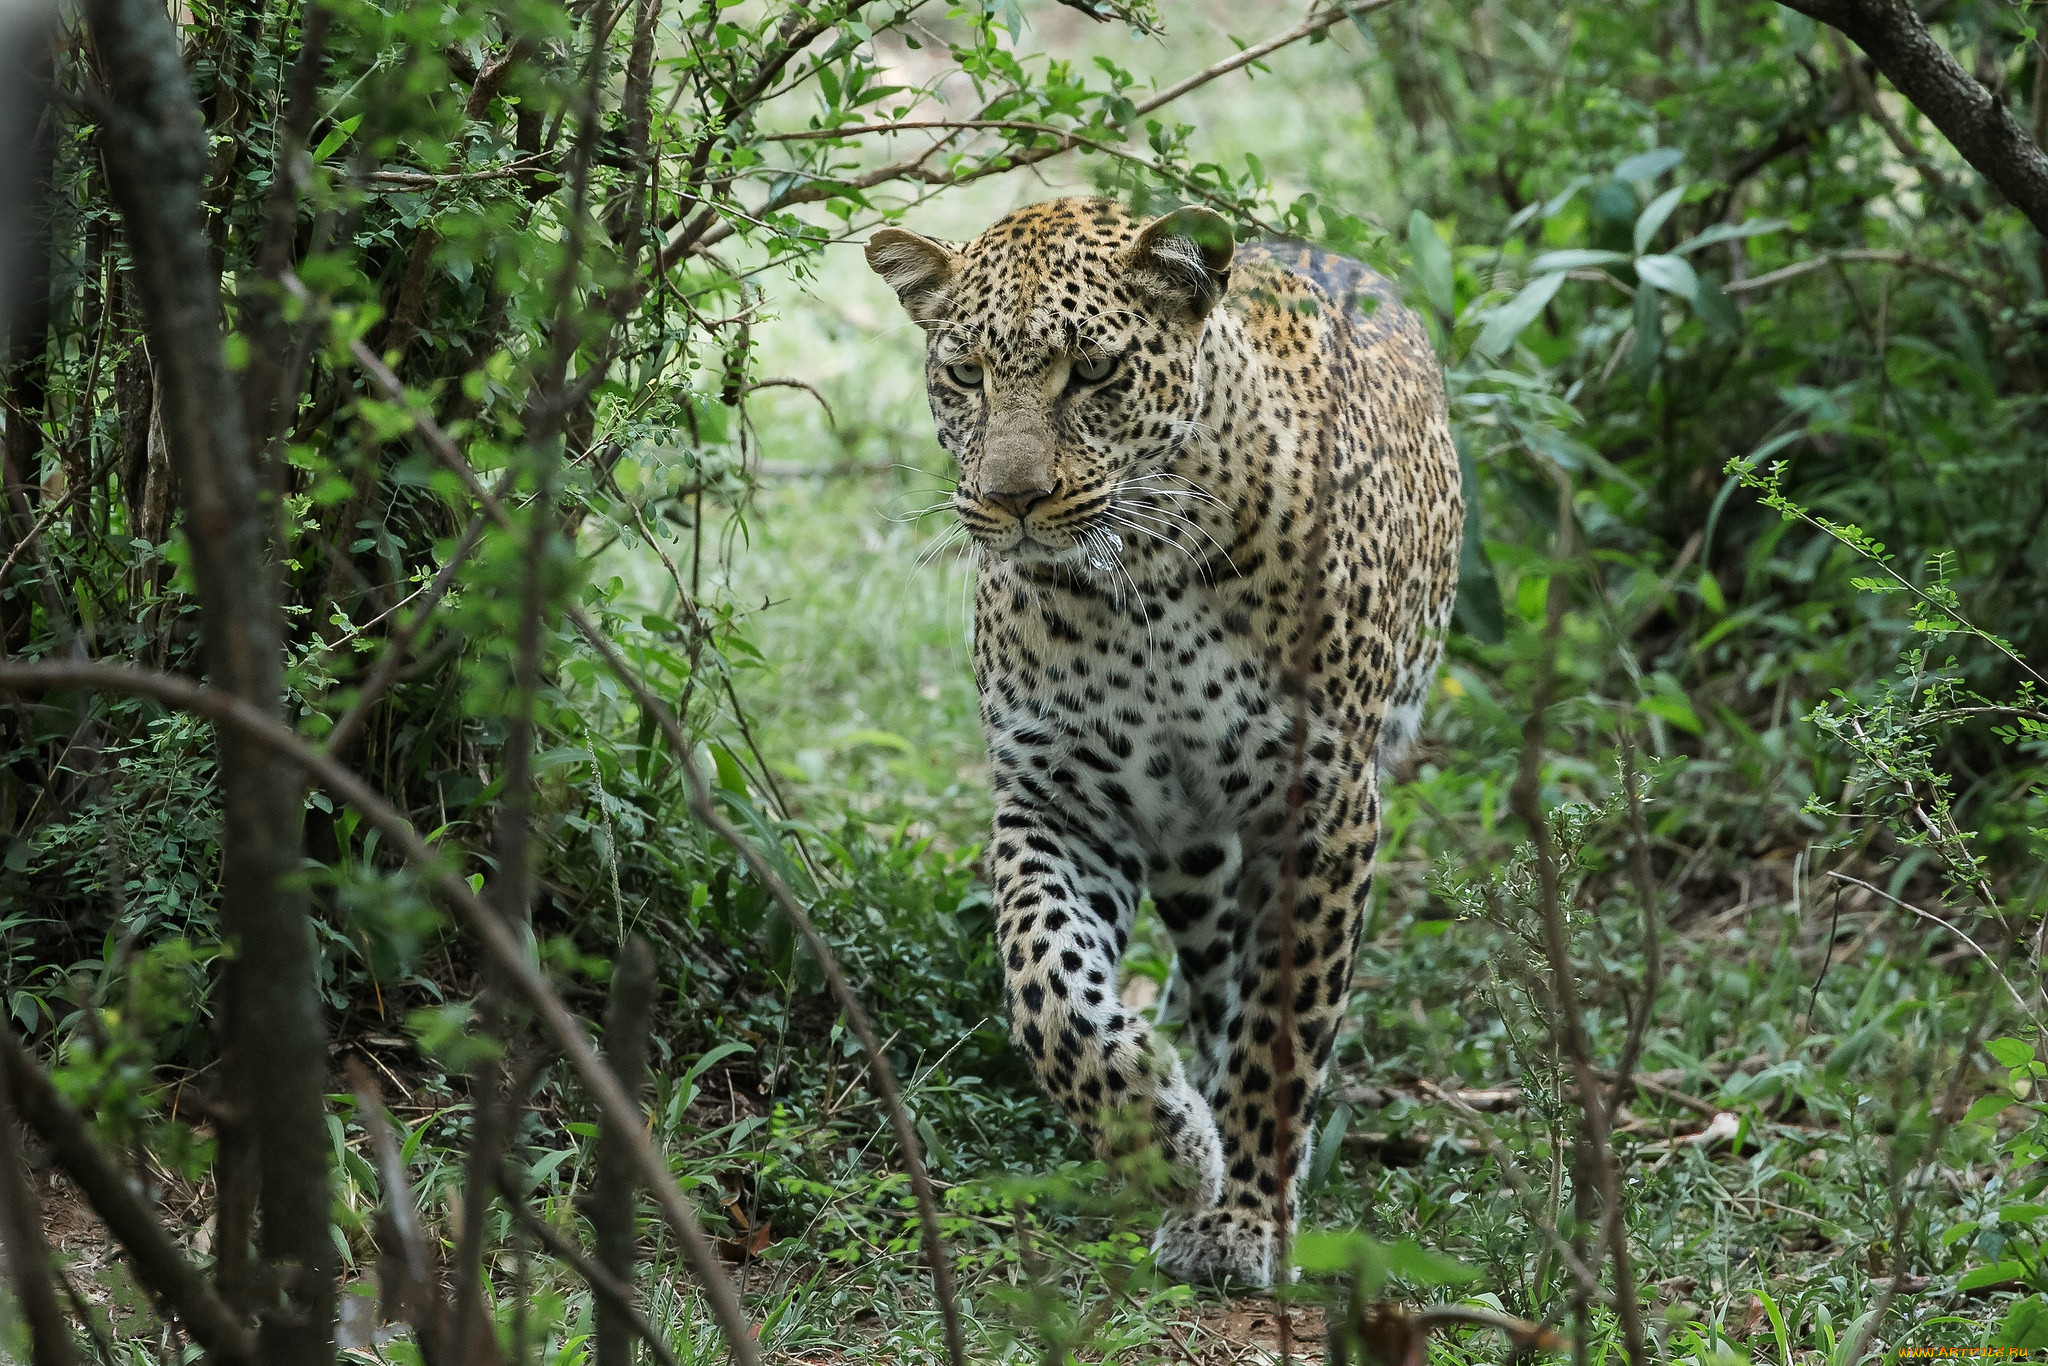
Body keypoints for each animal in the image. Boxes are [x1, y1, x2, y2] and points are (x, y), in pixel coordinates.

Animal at [856, 197, 1466, 1286]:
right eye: (964, 373)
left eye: (1094, 371)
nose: (1010, 500)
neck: (1136, 581)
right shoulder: (1059, 800)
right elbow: (1045, 983)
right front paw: (1164, 1139)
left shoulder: (1320, 806)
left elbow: (1282, 1026)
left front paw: (1240, 1217)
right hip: (1192, 851)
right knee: (1210, 974)